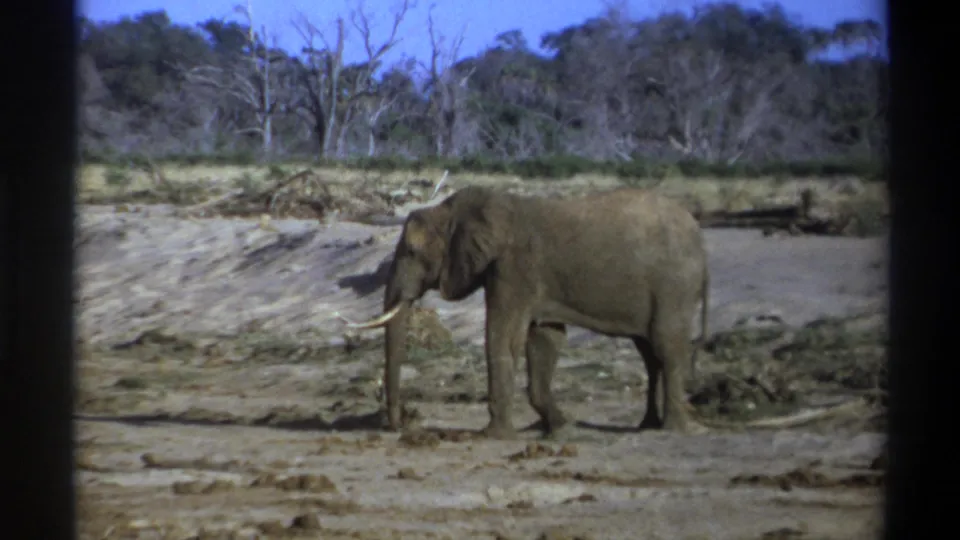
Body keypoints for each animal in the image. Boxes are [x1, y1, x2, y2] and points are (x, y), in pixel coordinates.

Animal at [341, 185, 710, 439]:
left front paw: (495, 436)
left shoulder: (514, 269)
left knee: (666, 346)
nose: (399, 425)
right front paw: (560, 428)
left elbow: (504, 336)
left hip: (673, 286)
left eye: (412, 252)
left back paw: (673, 430)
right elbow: (544, 340)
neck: (452, 210)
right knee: (649, 354)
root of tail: (699, 237)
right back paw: (648, 426)